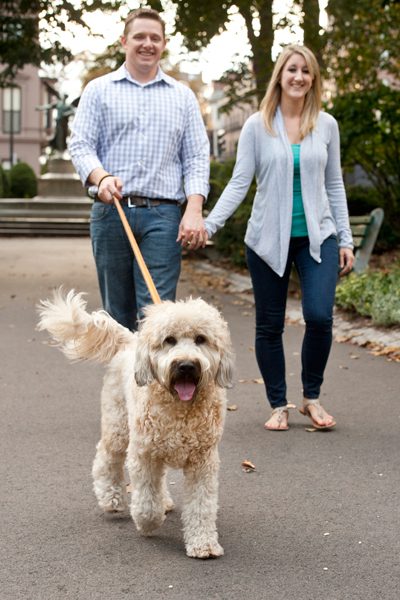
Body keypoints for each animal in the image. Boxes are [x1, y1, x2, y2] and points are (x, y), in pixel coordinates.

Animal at [37, 290, 234, 556]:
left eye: (201, 339)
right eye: (169, 340)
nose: (186, 365)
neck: (179, 408)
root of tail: (131, 341)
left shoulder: (202, 462)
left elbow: (201, 505)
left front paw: (203, 543)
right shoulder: (144, 453)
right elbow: (147, 500)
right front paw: (148, 522)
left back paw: (164, 501)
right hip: (119, 426)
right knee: (106, 457)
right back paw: (111, 498)